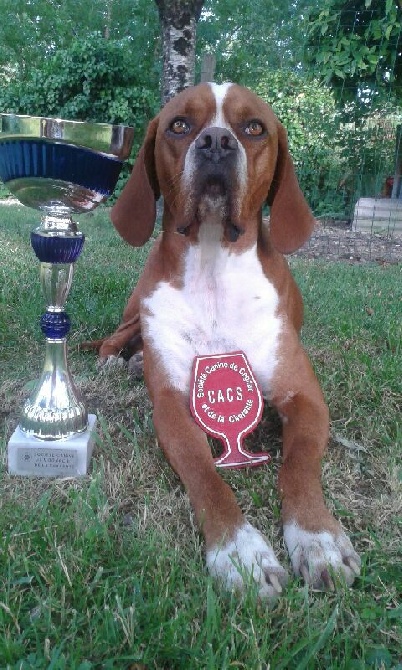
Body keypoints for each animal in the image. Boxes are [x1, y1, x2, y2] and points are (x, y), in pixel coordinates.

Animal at [92, 81, 360, 600]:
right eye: (179, 124)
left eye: (253, 127)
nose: (216, 142)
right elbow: (205, 475)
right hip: (139, 309)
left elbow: (298, 467)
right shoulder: (174, 406)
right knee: (116, 336)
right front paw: (240, 551)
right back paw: (119, 359)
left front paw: (317, 539)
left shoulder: (306, 399)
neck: (213, 260)